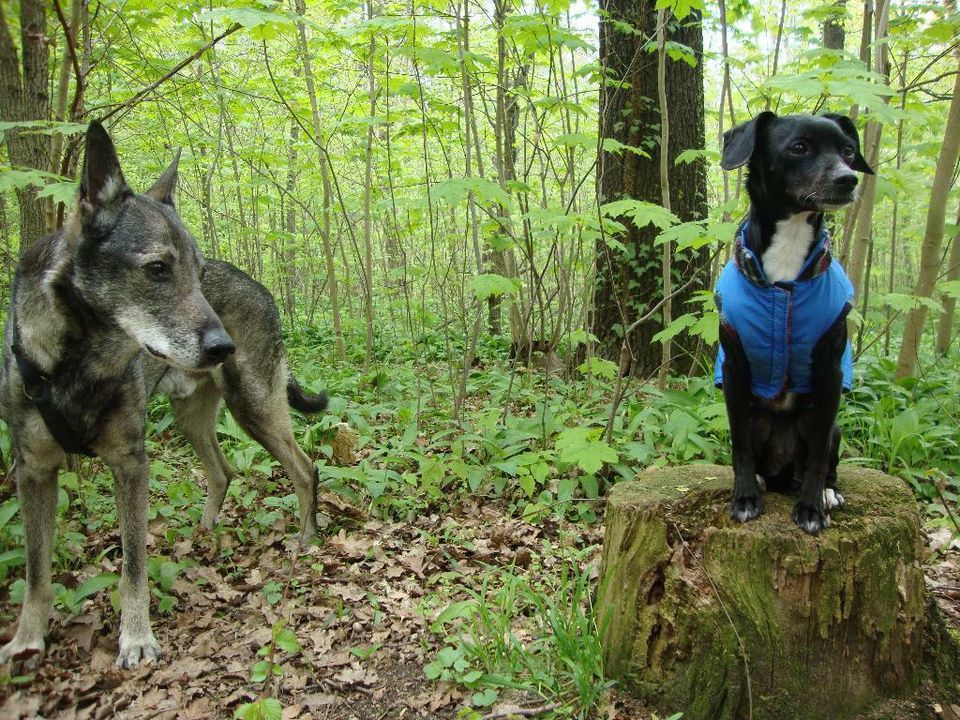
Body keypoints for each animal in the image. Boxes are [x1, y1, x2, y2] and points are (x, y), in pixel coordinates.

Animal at [0, 121, 326, 668]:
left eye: (198, 272)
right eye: (157, 268)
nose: (222, 347)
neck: (79, 360)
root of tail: (263, 288)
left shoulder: (130, 462)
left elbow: (132, 566)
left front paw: (136, 638)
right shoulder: (34, 469)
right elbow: (36, 571)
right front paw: (27, 639)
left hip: (254, 406)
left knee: (305, 468)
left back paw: (305, 540)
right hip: (192, 417)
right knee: (223, 471)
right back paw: (206, 533)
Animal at [716, 111, 872, 536]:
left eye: (848, 150)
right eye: (799, 147)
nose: (848, 179)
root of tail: (784, 471)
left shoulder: (830, 373)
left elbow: (818, 455)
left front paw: (811, 508)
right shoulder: (734, 369)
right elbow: (740, 449)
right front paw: (744, 498)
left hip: (831, 425)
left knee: (823, 458)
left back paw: (827, 492)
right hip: (757, 419)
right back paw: (761, 482)